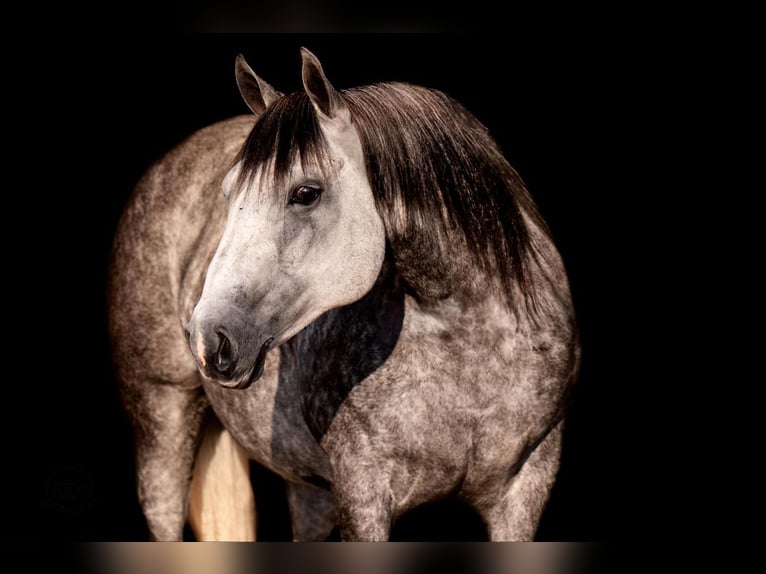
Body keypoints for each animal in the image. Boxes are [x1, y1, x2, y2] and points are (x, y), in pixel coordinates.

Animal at [109, 47, 580, 541]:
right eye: (227, 192)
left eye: (305, 192)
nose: (207, 337)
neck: (469, 349)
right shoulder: (362, 491)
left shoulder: (525, 490)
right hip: (162, 419)